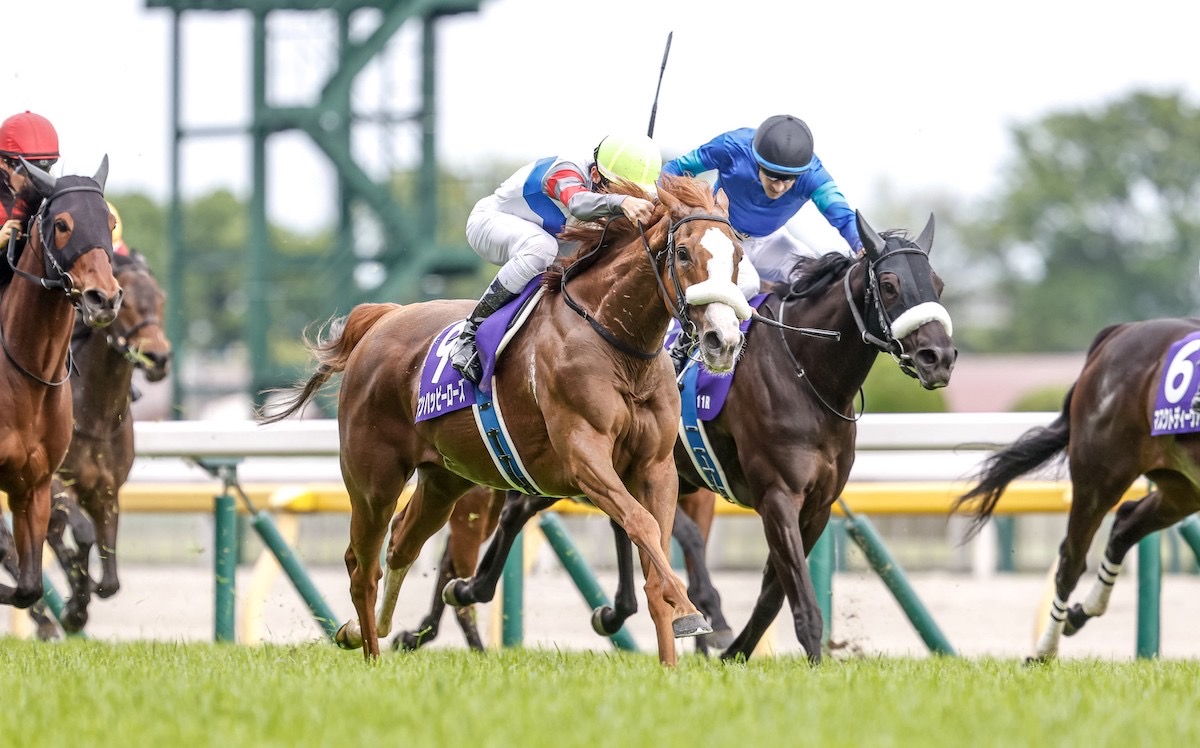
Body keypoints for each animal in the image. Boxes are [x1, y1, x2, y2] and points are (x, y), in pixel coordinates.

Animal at [434, 211, 955, 662]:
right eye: (889, 285)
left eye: (938, 284)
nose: (939, 357)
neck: (806, 375)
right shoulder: (778, 496)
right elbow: (799, 597)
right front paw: (798, 658)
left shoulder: (817, 507)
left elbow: (772, 592)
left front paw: (733, 652)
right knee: (522, 508)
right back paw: (468, 589)